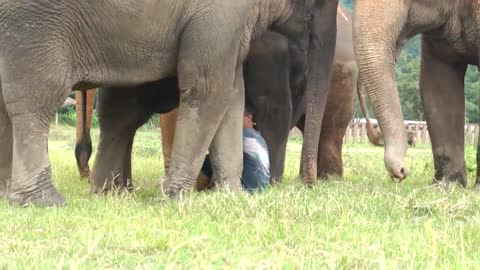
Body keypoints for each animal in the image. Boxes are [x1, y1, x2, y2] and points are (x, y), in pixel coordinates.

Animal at [0, 0, 340, 207]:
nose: (307, 185)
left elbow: (231, 92)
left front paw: (231, 196)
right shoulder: (221, 12)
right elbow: (209, 88)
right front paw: (176, 197)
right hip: (32, 23)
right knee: (37, 98)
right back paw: (44, 200)